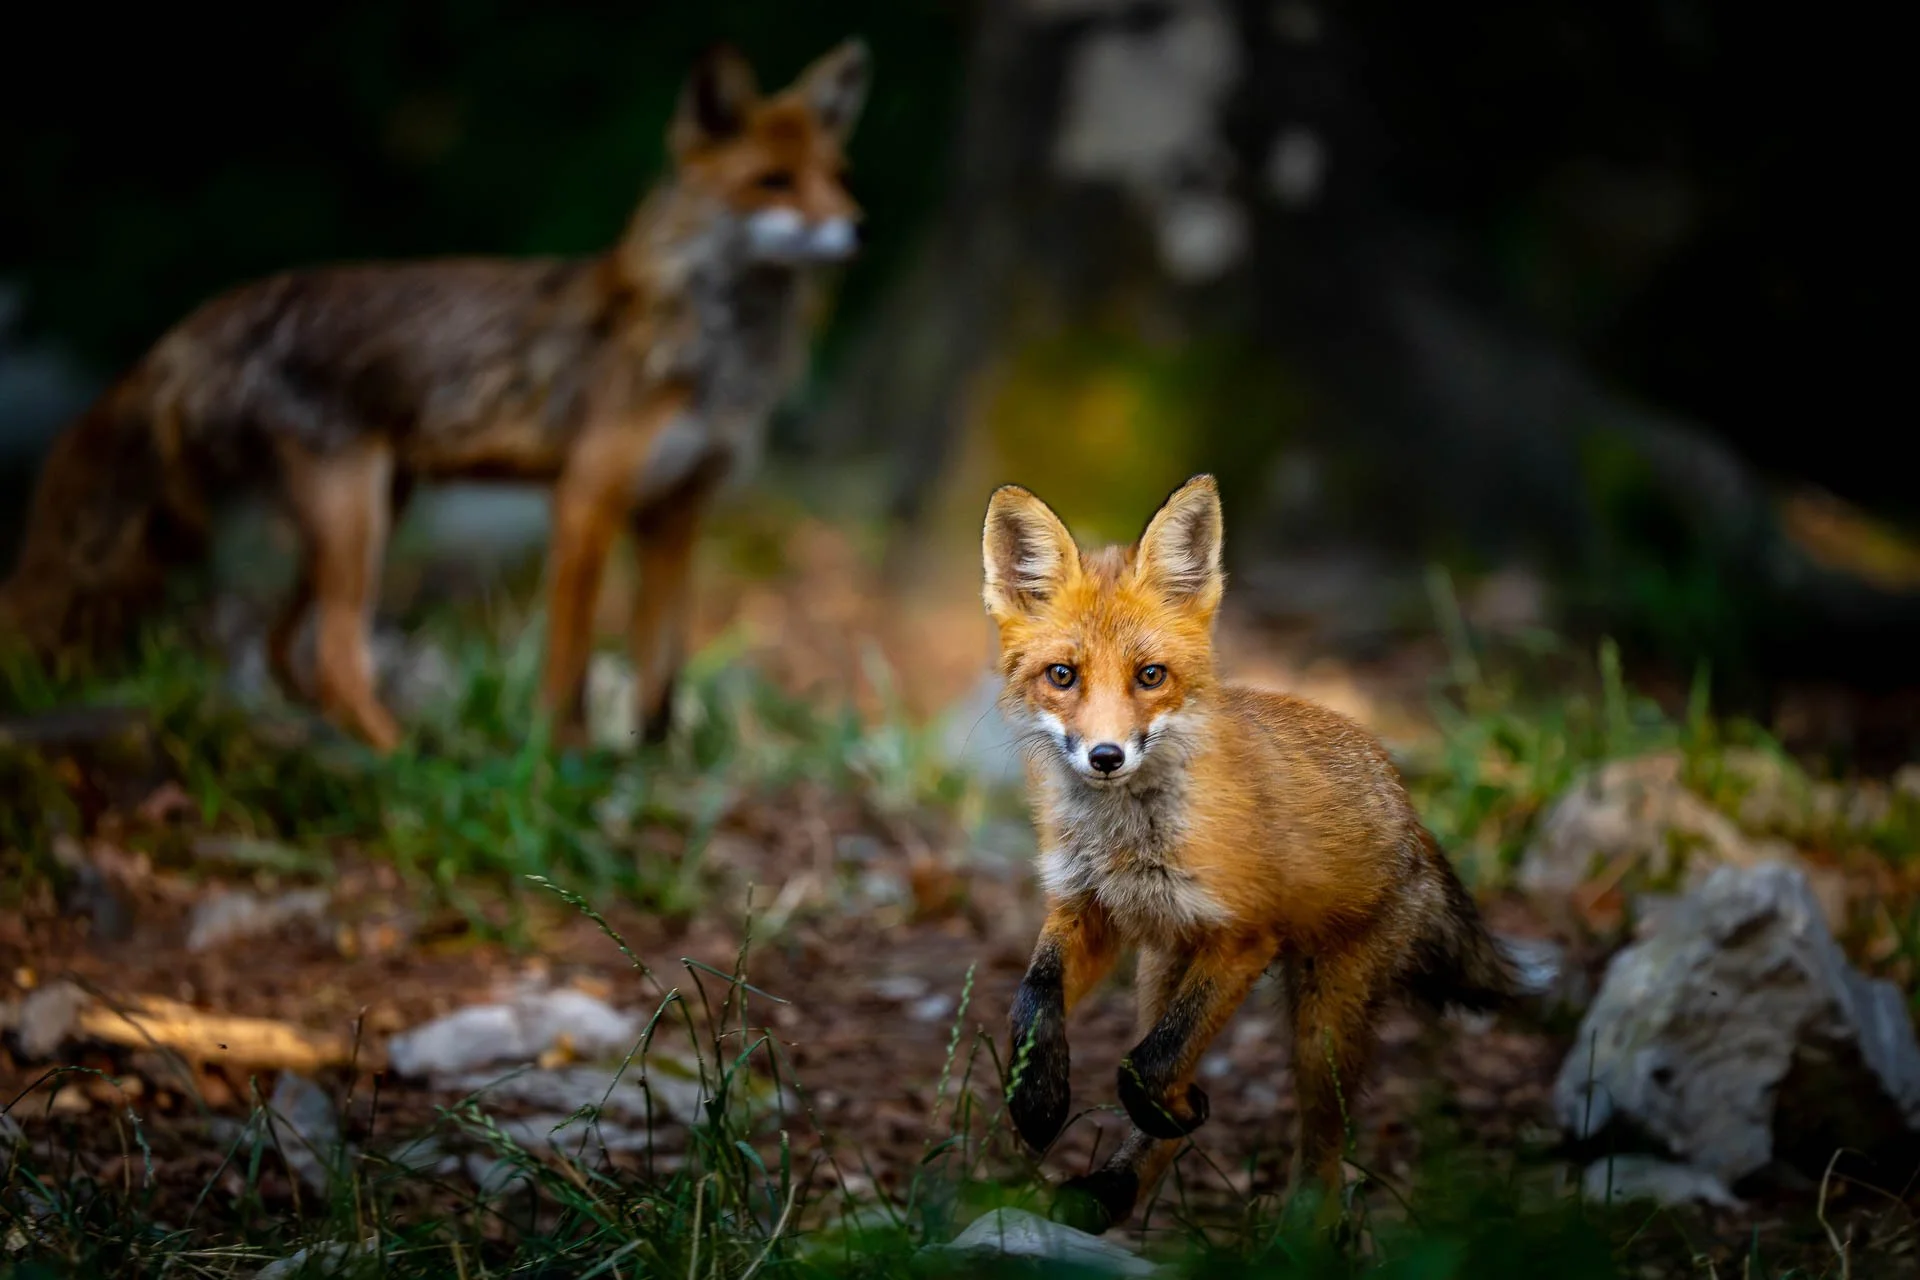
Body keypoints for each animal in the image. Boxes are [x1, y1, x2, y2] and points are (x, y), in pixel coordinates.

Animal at [0, 40, 870, 751]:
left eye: (836, 179)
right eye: (774, 184)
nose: (858, 228)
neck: (715, 353)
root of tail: (213, 311)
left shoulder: (677, 512)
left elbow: (662, 668)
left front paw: (652, 764)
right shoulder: (587, 498)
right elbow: (570, 662)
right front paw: (562, 759)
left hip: (375, 508)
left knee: (286, 647)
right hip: (358, 516)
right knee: (337, 655)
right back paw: (403, 755)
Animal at [983, 474, 1524, 1233]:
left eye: (1151, 676)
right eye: (1062, 675)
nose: (1106, 756)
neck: (1127, 842)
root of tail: (1408, 808)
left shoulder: (1243, 936)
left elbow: (1143, 1068)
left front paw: (1156, 1107)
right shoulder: (1088, 908)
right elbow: (1034, 999)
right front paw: (1035, 1099)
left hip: (1322, 1023)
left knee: (1322, 1148)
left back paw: (1299, 1233)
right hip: (1161, 970)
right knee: (1166, 1082)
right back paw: (1116, 1185)